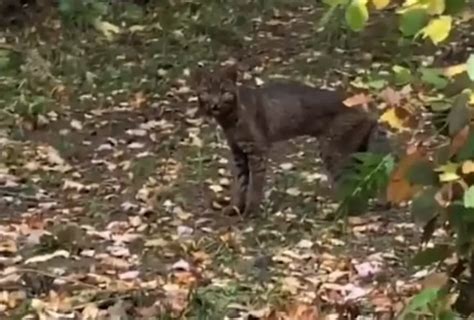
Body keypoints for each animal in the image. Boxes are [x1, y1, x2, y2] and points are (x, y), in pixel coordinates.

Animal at [191, 63, 390, 216]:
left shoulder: (257, 149)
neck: (228, 119)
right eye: (206, 91)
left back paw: (340, 213)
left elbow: (255, 183)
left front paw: (251, 211)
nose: (215, 104)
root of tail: (369, 104)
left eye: (224, 91)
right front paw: (235, 208)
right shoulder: (238, 152)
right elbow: (240, 183)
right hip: (355, 149)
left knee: (349, 181)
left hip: (332, 150)